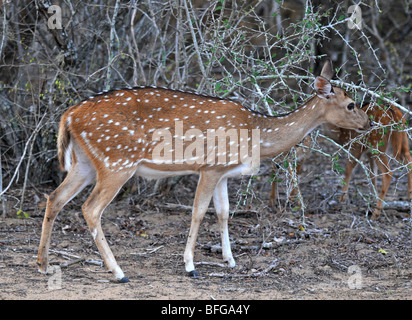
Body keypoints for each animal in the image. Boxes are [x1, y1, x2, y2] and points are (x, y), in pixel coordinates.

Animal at [36, 58, 370, 282]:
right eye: (352, 104)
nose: (368, 123)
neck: (257, 132)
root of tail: (69, 115)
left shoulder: (223, 172)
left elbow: (223, 213)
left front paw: (230, 260)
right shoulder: (210, 167)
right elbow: (198, 212)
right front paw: (190, 266)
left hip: (85, 163)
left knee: (55, 198)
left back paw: (43, 264)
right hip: (117, 161)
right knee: (90, 208)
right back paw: (118, 272)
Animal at [270, 102, 412, 220]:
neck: (340, 133)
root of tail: (395, 111)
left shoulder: (356, 147)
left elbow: (349, 169)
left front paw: (342, 198)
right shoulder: (367, 153)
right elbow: (372, 176)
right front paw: (371, 198)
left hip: (377, 144)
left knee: (388, 173)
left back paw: (376, 213)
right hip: (401, 141)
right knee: (407, 159)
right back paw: (408, 197)